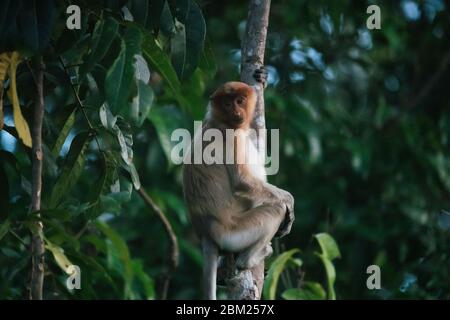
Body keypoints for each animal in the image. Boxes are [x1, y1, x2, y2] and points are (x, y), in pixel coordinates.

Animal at [183, 68, 296, 300]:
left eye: (239, 100)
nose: (236, 112)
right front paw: (290, 204)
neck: (219, 120)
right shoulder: (231, 137)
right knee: (275, 209)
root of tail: (205, 233)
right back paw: (251, 258)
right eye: (227, 104)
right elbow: (242, 182)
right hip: (234, 233)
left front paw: (263, 77)